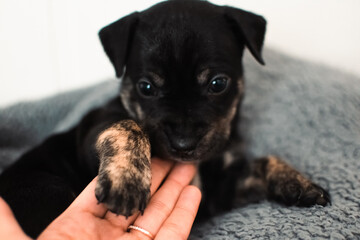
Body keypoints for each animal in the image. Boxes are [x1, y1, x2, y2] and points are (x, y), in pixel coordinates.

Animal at [0, 0, 330, 238]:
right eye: (146, 87)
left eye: (218, 84)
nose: (184, 145)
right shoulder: (92, 131)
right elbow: (128, 126)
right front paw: (127, 182)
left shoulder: (216, 191)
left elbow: (261, 163)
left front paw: (298, 182)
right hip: (46, 189)